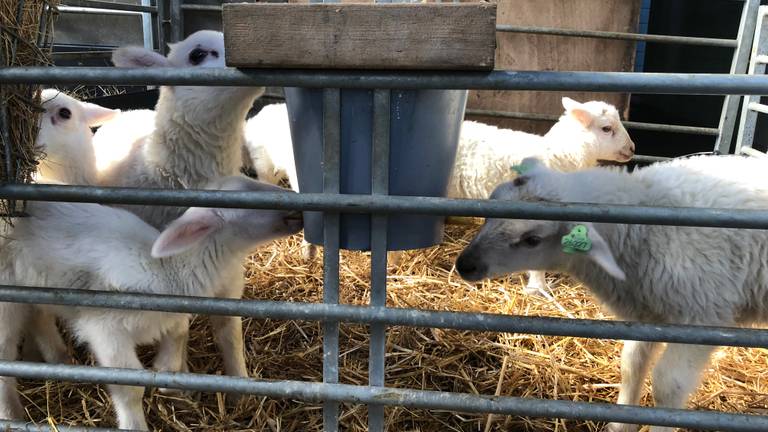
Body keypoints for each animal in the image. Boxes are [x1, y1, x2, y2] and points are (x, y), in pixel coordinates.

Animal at [3, 176, 304, 428]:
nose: (296, 203)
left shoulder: (171, 316)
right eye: (246, 199)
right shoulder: (105, 330)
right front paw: (135, 425)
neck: (168, 269)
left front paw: (175, 390)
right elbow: (130, 387)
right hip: (9, 302)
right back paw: (12, 414)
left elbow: (174, 353)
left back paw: (58, 359)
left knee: (38, 317)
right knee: (6, 358)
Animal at [452, 155, 768, 432]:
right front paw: (621, 423)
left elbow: (669, 385)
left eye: (532, 240)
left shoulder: (703, 315)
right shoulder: (648, 313)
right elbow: (631, 366)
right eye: (491, 206)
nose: (465, 264)